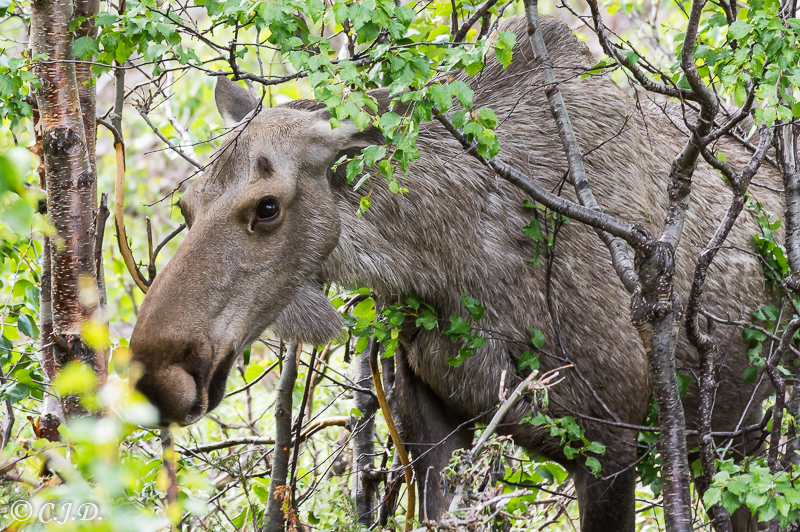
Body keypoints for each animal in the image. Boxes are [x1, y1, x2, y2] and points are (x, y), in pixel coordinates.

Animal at [130, 14, 780, 528]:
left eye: (267, 207)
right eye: (186, 204)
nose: (160, 374)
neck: (449, 263)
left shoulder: (612, 441)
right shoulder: (430, 422)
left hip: (740, 438)